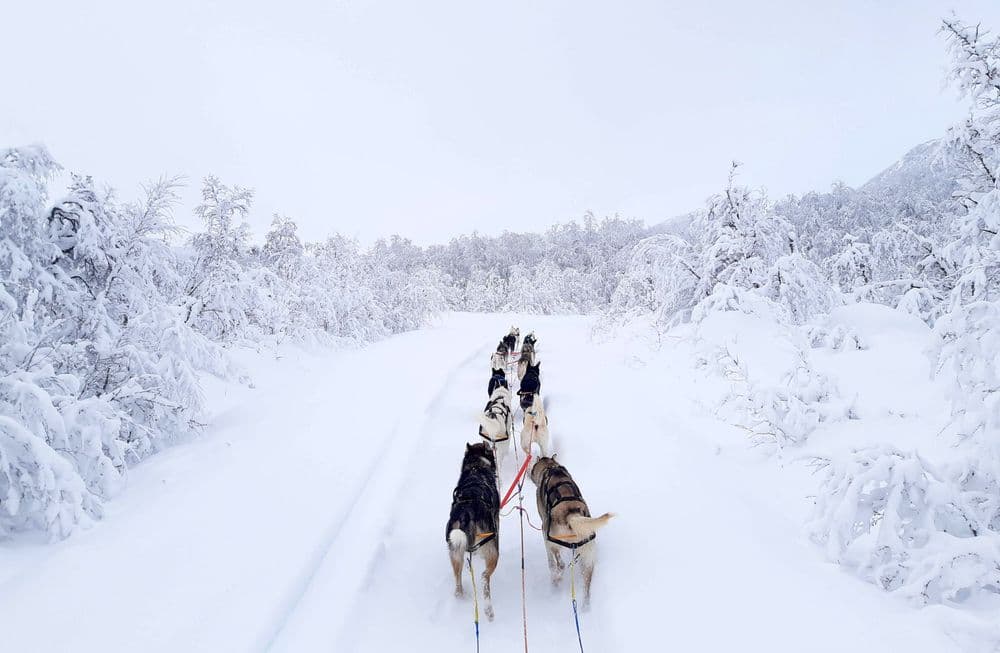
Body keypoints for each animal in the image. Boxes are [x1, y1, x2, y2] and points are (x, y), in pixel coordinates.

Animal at [446, 444, 500, 616]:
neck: (477, 467)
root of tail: (467, 512)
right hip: (493, 550)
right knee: (485, 577)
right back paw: (489, 610)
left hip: (455, 552)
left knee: (457, 579)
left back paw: (460, 595)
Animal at [528, 456, 612, 608]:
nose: (529, 474)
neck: (550, 467)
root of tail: (572, 515)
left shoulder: (545, 533)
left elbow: (552, 561)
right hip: (588, 557)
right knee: (586, 588)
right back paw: (585, 607)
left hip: (552, 541)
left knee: (559, 564)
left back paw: (556, 579)